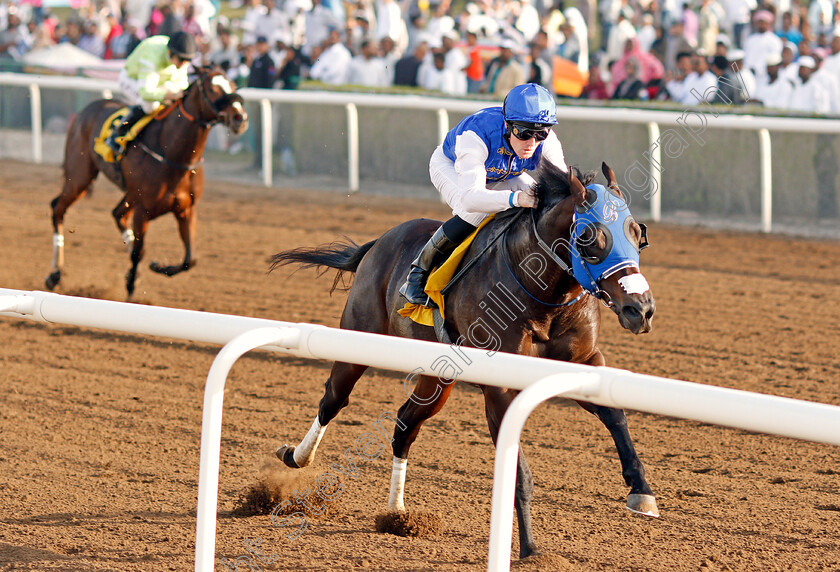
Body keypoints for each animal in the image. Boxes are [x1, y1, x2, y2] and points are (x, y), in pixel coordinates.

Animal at [46, 68, 248, 294]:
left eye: (232, 85)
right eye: (212, 89)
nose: (240, 117)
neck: (173, 155)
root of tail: (89, 108)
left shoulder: (186, 209)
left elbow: (190, 259)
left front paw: (157, 266)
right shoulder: (143, 210)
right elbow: (138, 252)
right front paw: (131, 283)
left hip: (129, 193)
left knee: (117, 214)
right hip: (80, 176)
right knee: (58, 208)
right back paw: (54, 274)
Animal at [270, 161, 656, 560]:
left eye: (637, 233)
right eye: (589, 237)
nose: (640, 310)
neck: (543, 294)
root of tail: (378, 243)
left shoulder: (582, 361)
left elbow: (615, 413)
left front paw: (641, 491)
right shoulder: (501, 388)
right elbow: (517, 471)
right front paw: (530, 548)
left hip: (437, 379)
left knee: (405, 425)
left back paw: (397, 514)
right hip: (359, 339)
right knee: (334, 399)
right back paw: (297, 457)